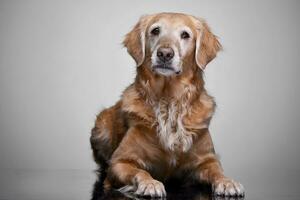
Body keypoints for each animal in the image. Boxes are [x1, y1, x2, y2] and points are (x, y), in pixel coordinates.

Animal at [90, 12, 245, 197]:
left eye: (185, 35)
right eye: (155, 31)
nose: (164, 53)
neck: (169, 100)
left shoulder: (207, 159)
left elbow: (217, 170)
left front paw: (227, 182)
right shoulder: (119, 162)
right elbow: (140, 171)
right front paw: (150, 183)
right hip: (101, 125)